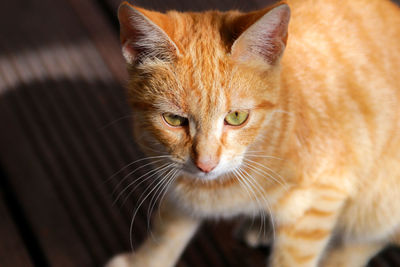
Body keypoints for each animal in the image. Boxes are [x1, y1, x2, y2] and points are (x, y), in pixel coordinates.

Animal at [106, 0, 400, 267]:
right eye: (174, 119)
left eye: (236, 117)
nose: (206, 164)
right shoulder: (180, 185)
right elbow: (166, 231)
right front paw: (144, 261)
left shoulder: (316, 202)